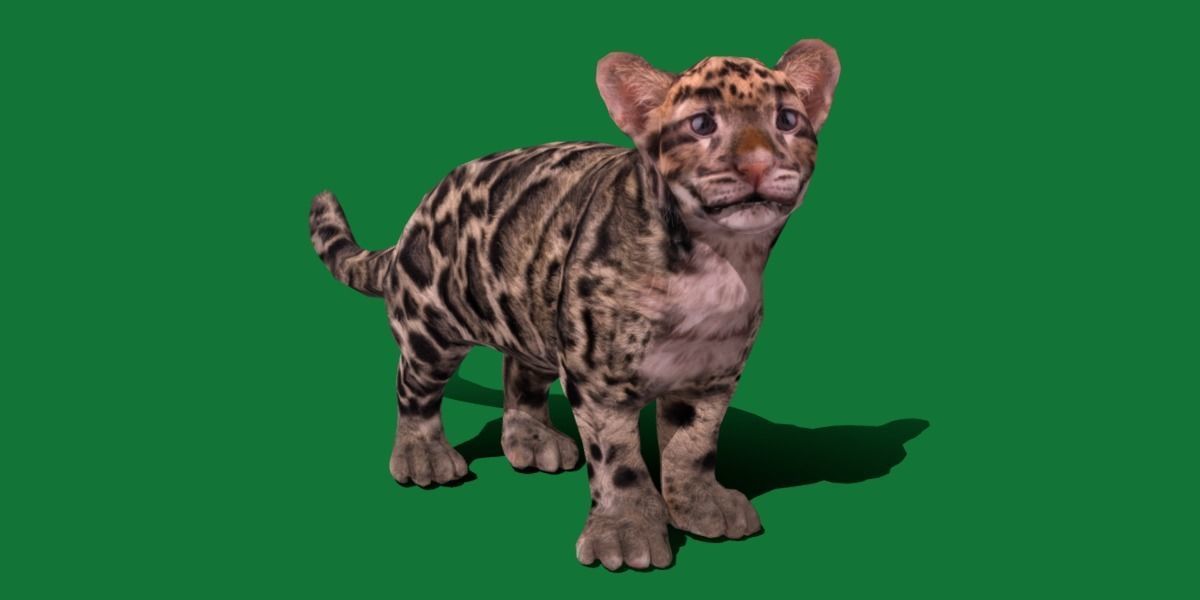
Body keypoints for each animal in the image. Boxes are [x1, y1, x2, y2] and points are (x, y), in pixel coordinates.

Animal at [308, 39, 840, 570]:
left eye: (787, 120)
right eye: (702, 124)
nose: (757, 163)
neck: (717, 262)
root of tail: (416, 216)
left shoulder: (711, 377)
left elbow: (694, 445)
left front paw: (700, 502)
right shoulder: (598, 379)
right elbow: (619, 461)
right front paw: (627, 533)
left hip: (534, 315)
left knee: (519, 376)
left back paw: (533, 441)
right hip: (432, 326)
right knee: (413, 387)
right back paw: (423, 457)